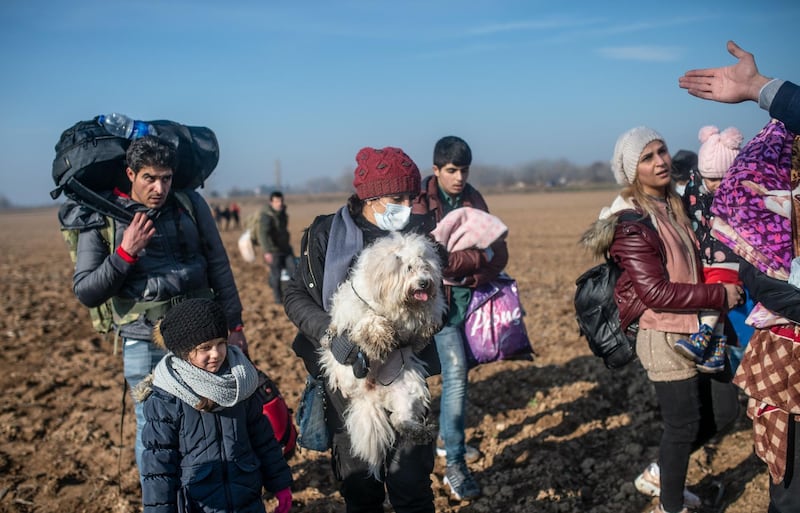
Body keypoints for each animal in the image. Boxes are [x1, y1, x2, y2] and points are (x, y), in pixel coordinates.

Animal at [318, 230, 446, 478]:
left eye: (425, 266)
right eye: (408, 268)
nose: (424, 282)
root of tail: (370, 395)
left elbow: (429, 314)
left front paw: (426, 329)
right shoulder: (357, 307)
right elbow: (370, 319)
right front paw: (379, 339)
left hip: (410, 389)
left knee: (399, 419)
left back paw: (420, 432)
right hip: (349, 375)